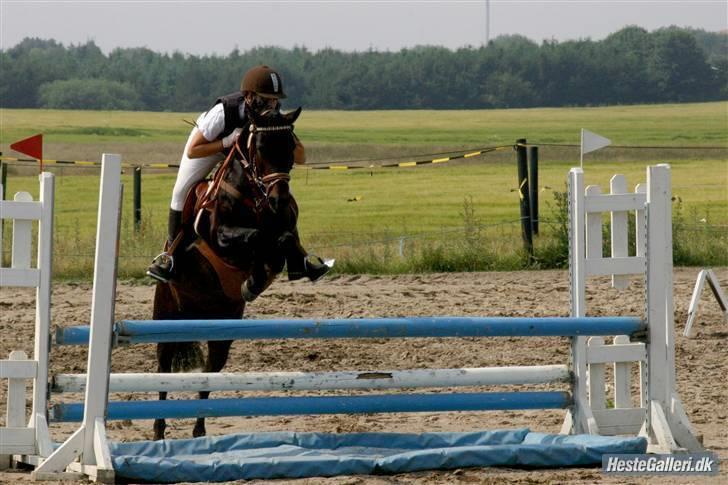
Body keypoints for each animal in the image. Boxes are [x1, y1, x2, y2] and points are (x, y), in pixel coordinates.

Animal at [152, 107, 302, 438]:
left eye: (290, 148)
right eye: (260, 148)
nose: (279, 200)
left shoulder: (282, 228)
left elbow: (283, 242)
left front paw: (264, 277)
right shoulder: (220, 237)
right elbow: (255, 237)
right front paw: (253, 280)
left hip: (221, 329)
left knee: (209, 373)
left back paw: (199, 431)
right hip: (167, 317)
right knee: (163, 370)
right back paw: (158, 432)